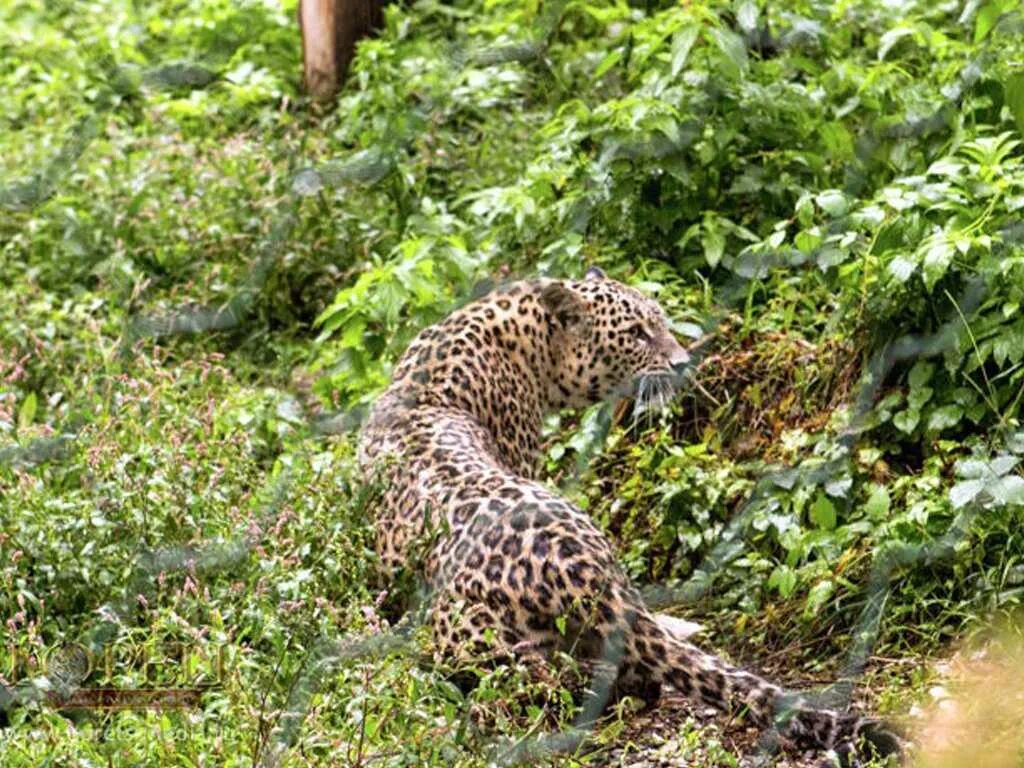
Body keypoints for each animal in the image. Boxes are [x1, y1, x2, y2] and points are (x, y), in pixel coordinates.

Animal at [358, 268, 897, 761]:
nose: (683, 363)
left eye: (660, 321)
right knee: (560, 686)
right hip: (472, 642)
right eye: (636, 333)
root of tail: (582, 570)